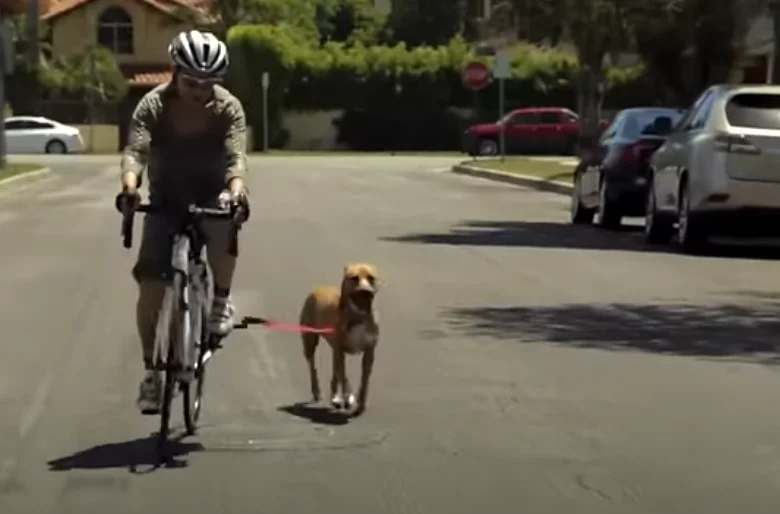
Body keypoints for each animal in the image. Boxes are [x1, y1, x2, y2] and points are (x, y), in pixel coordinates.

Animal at [298, 262, 380, 414]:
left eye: (371, 278)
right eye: (354, 278)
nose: (366, 291)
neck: (358, 318)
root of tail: (317, 289)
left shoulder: (369, 353)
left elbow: (364, 381)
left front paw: (361, 403)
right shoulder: (341, 351)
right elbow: (345, 378)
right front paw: (349, 397)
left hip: (333, 350)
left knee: (335, 372)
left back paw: (335, 397)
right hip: (310, 343)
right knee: (313, 366)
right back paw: (318, 392)